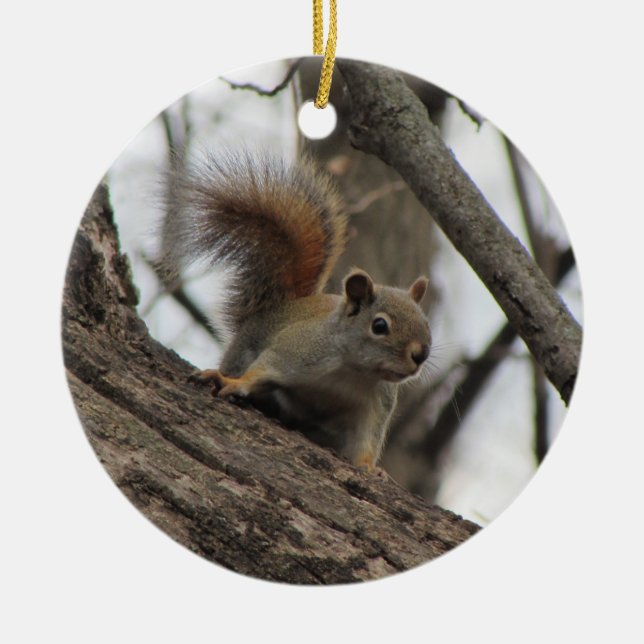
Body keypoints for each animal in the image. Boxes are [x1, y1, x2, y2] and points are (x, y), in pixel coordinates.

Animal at [162, 150, 431, 470]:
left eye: (427, 323)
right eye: (380, 326)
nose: (421, 355)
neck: (354, 372)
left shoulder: (376, 406)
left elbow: (367, 440)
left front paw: (369, 468)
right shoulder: (297, 351)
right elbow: (262, 371)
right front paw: (231, 382)